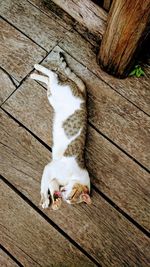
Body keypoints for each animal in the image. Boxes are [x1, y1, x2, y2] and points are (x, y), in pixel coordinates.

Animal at [30, 52, 91, 211]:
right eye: (72, 196)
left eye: (70, 200)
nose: (64, 196)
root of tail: (83, 96)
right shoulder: (49, 168)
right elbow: (44, 186)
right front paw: (45, 199)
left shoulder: (54, 177)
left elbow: (51, 185)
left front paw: (55, 201)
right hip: (58, 89)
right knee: (54, 74)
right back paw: (38, 67)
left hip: (52, 94)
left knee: (49, 80)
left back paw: (34, 74)